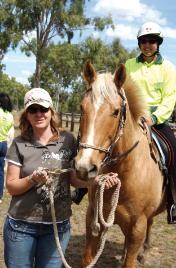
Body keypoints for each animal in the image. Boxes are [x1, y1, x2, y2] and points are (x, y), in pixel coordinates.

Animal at [75, 61, 166, 268]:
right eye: (82, 107)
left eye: (116, 111)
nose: (84, 168)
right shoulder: (93, 217)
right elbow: (86, 260)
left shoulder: (138, 227)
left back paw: (144, 253)